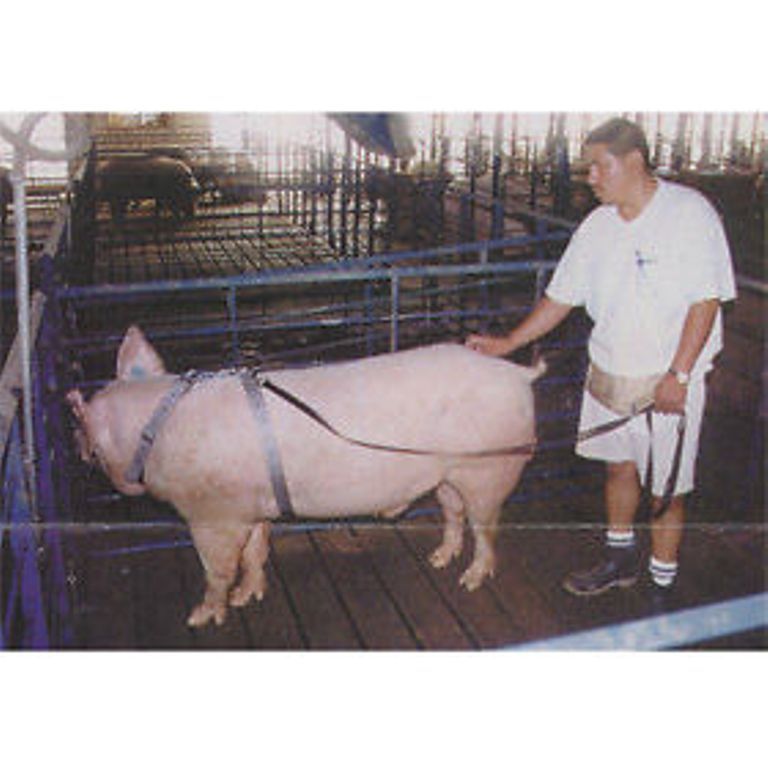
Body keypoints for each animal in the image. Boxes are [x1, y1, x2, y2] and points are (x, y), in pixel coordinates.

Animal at [67, 327, 543, 628]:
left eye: (88, 436)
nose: (75, 444)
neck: (153, 431)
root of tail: (517, 373)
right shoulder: (250, 506)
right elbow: (255, 553)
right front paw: (248, 596)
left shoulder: (212, 513)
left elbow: (217, 567)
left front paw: (202, 616)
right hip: (448, 472)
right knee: (453, 512)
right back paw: (439, 559)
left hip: (488, 468)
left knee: (487, 527)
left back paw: (470, 580)